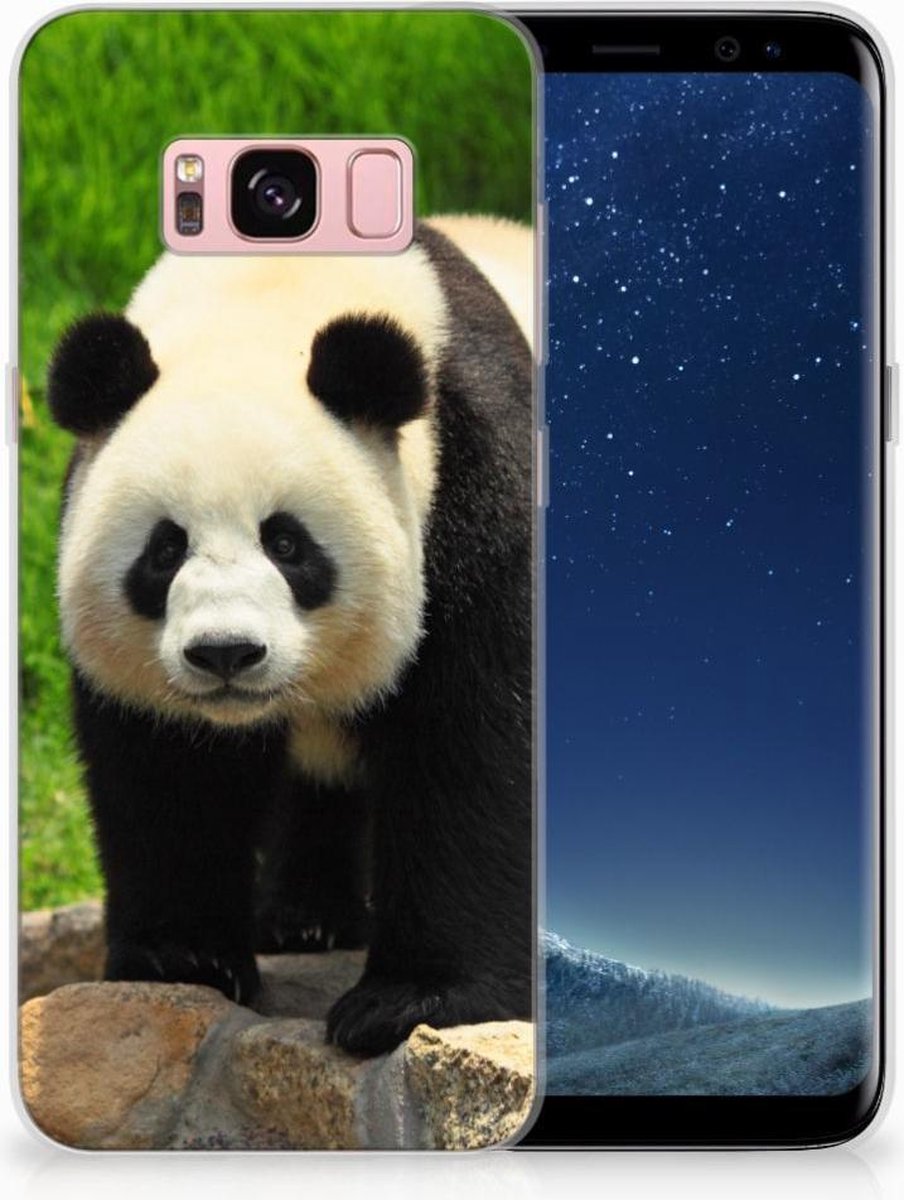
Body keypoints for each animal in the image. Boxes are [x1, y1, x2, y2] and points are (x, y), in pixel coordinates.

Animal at [46, 217, 534, 1056]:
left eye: (287, 543)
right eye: (164, 549)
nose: (226, 653)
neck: (268, 293)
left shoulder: (475, 479)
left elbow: (472, 740)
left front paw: (413, 1001)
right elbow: (168, 768)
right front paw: (184, 959)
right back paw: (306, 920)